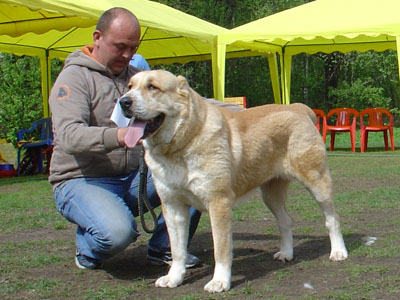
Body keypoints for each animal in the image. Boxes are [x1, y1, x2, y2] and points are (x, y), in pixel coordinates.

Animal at [119, 69, 346, 292]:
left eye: (152, 87)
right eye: (130, 86)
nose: (124, 101)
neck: (181, 144)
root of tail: (298, 107)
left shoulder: (218, 203)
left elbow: (220, 248)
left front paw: (219, 281)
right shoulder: (172, 206)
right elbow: (177, 249)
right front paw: (174, 277)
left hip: (317, 181)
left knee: (332, 218)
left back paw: (338, 252)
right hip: (270, 194)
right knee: (285, 221)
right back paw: (286, 253)